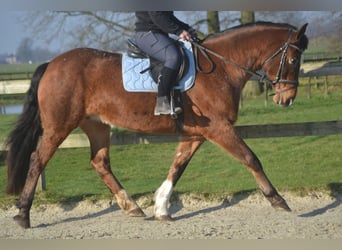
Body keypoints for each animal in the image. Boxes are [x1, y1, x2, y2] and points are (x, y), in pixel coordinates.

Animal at [6, 22, 310, 229]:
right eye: (294, 59)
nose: (287, 99)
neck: (221, 67)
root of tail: (52, 64)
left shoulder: (196, 134)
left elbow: (177, 167)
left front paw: (161, 208)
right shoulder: (219, 129)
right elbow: (251, 158)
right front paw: (277, 200)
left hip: (97, 125)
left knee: (100, 162)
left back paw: (132, 207)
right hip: (59, 126)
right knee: (37, 160)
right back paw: (22, 215)